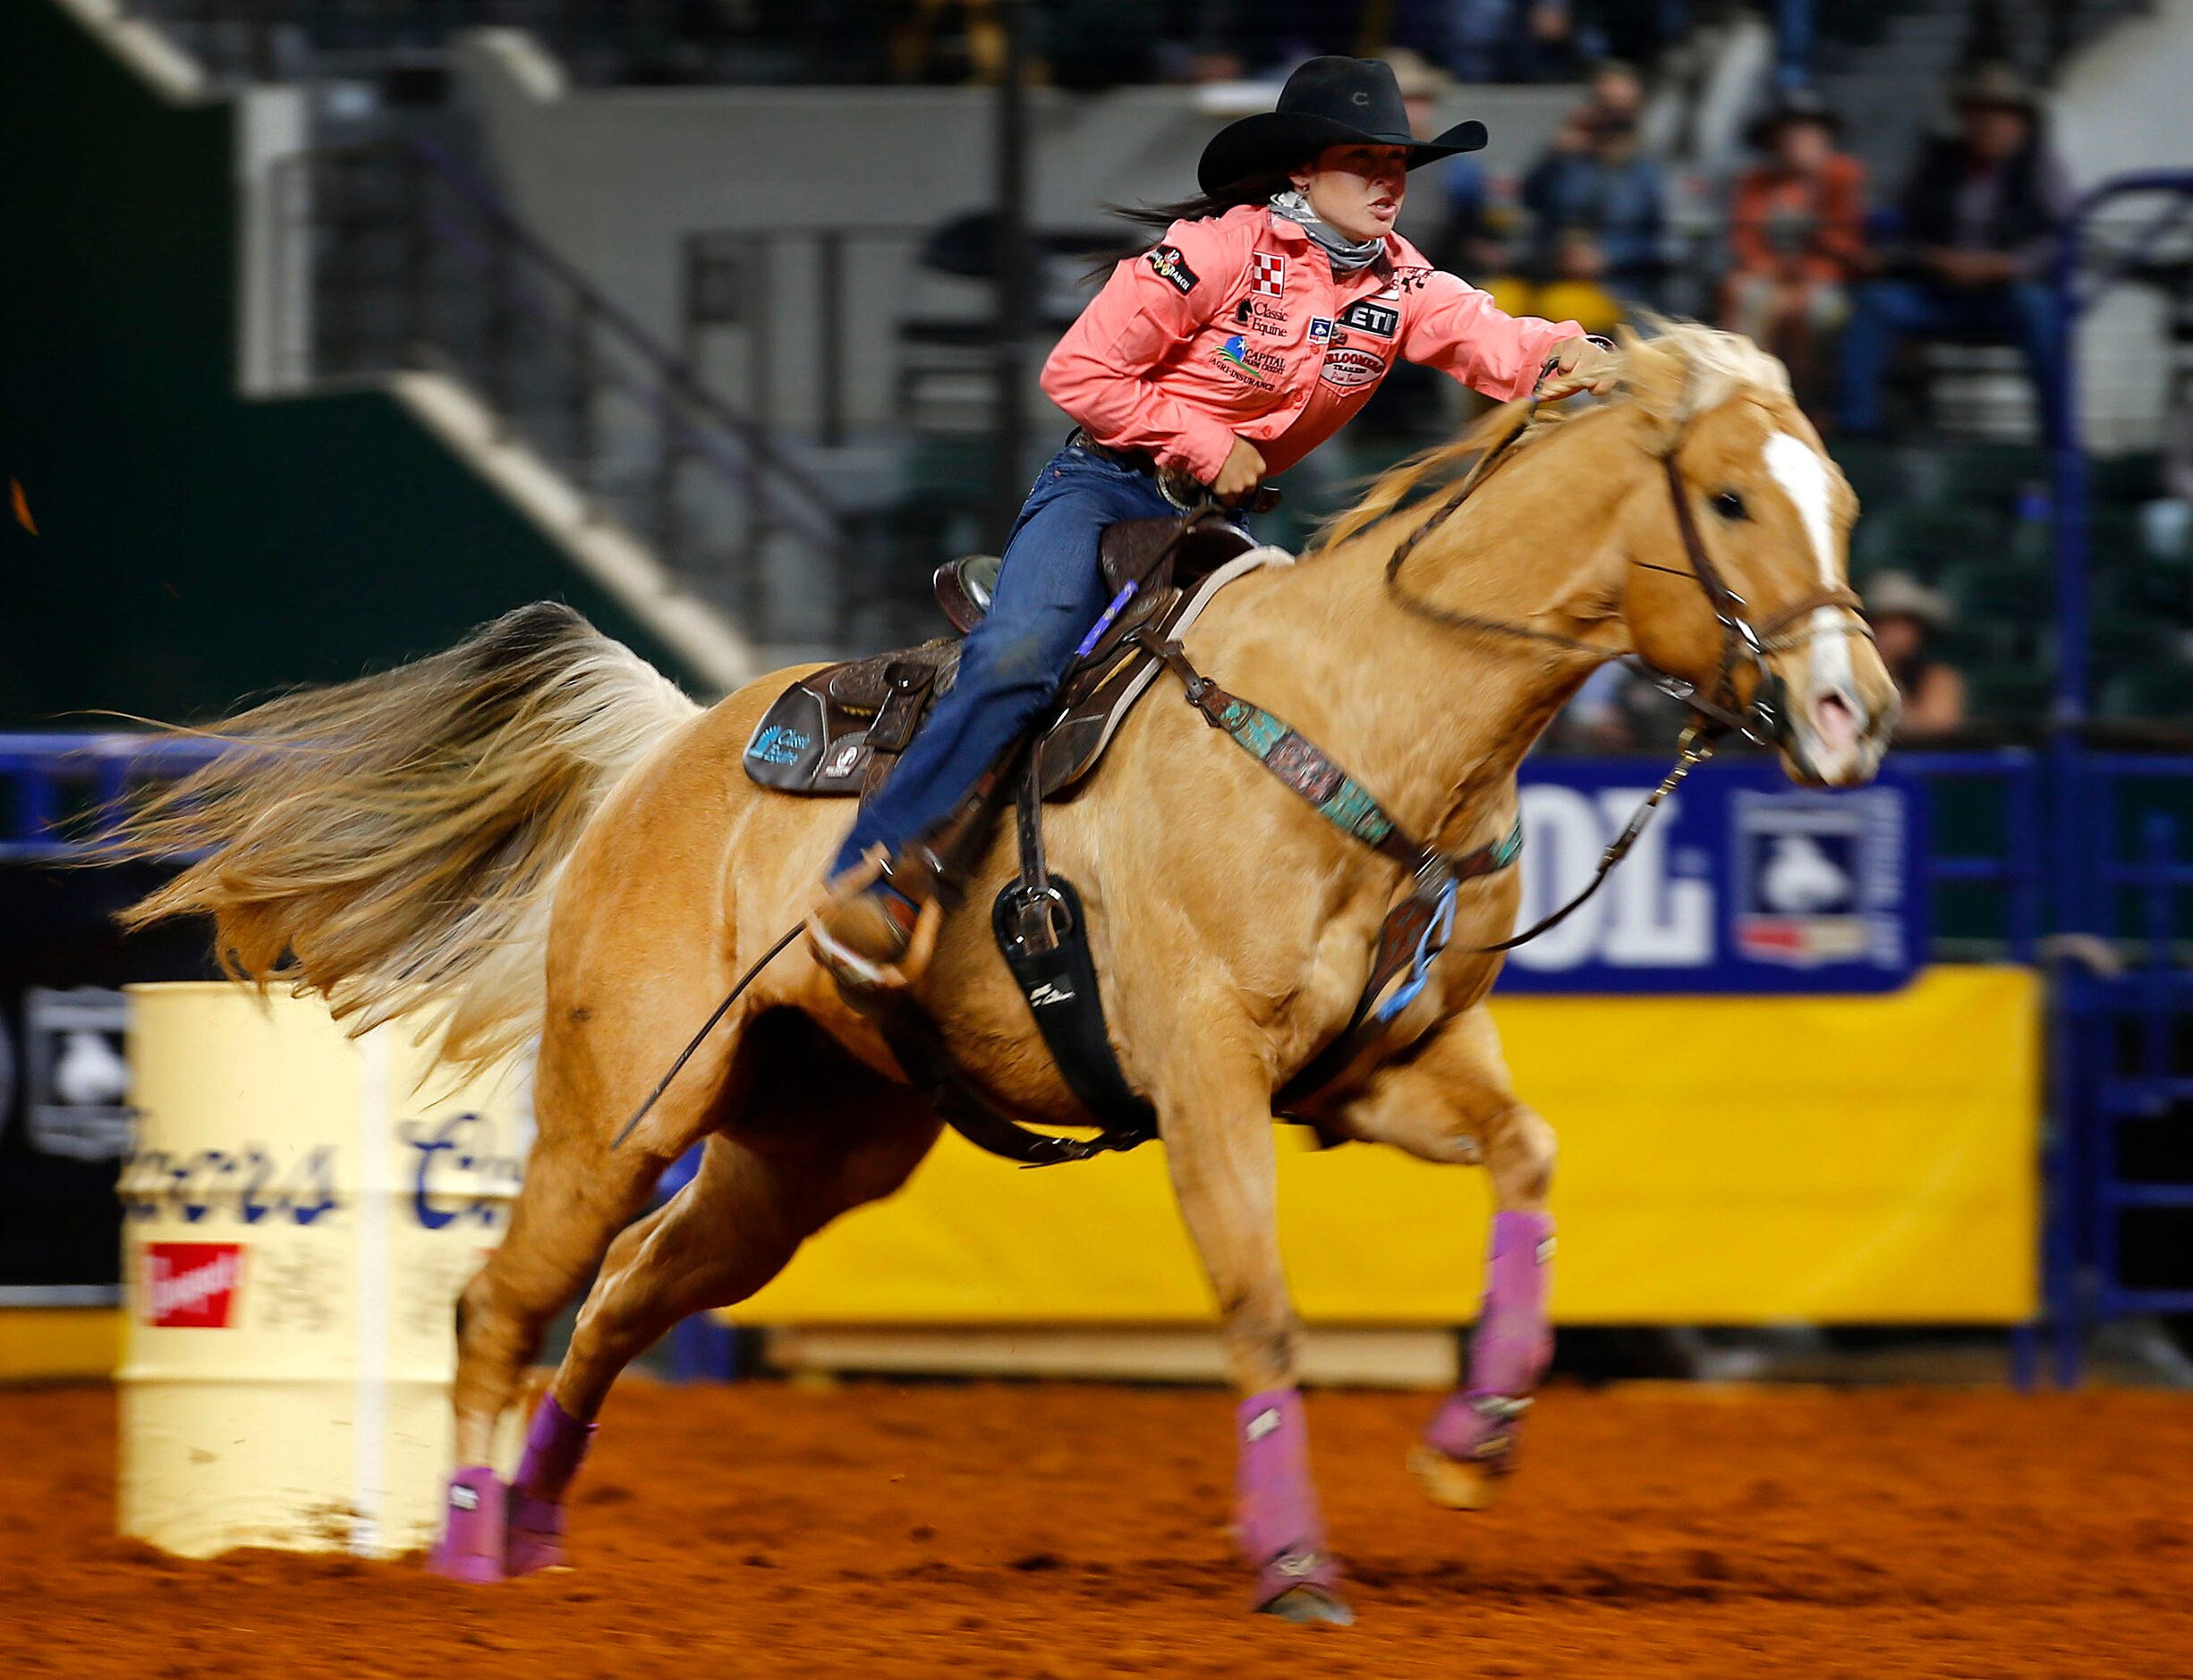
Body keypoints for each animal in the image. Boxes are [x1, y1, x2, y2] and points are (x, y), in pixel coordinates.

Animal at [120, 328, 1894, 1632]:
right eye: (1731, 501)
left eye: (1841, 501)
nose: (1854, 713)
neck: (1364, 711)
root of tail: (666, 753)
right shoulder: (1204, 1073)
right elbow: (1259, 1303)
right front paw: (1296, 1564)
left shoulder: (1388, 1066)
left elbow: (1529, 1160)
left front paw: (1477, 1441)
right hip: (619, 1105)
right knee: (505, 1301)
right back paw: (467, 1559)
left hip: (806, 1151)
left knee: (618, 1298)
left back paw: (542, 1529)